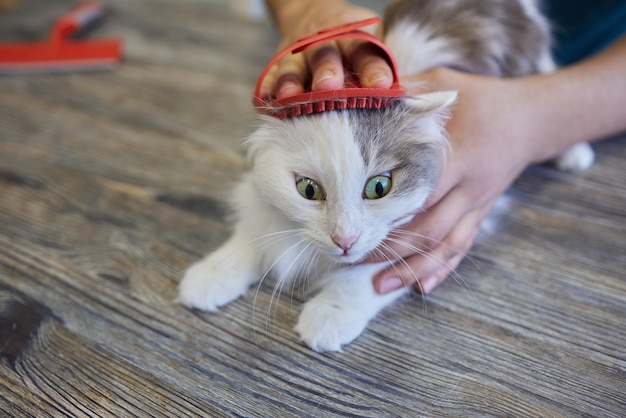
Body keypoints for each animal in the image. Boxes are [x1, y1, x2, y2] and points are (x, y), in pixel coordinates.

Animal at [178, 0, 592, 352]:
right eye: (308, 190)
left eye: (379, 187)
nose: (344, 240)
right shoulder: (262, 204)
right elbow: (249, 237)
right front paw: (209, 276)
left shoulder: (426, 231)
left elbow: (367, 277)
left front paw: (330, 315)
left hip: (534, 53)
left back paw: (575, 153)